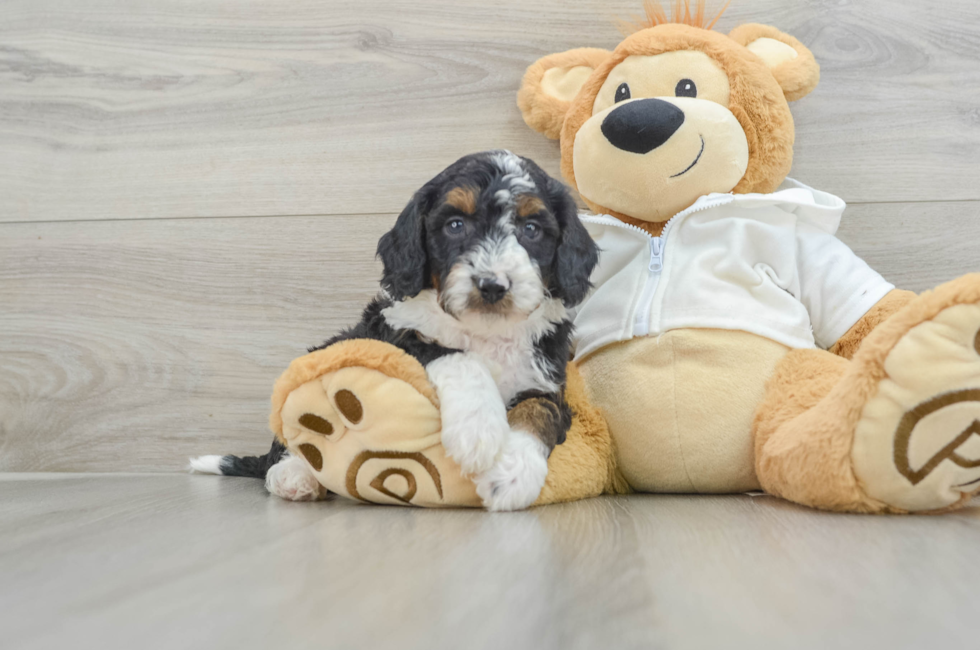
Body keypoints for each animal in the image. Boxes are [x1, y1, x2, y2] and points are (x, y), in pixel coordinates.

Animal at [193, 149, 596, 508]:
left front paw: (513, 474)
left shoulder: (546, 378)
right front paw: (477, 430)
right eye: (455, 225)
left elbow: (539, 411)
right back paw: (295, 475)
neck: (485, 330)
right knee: (285, 446)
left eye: (531, 229)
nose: (492, 285)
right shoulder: (394, 335)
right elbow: (455, 354)